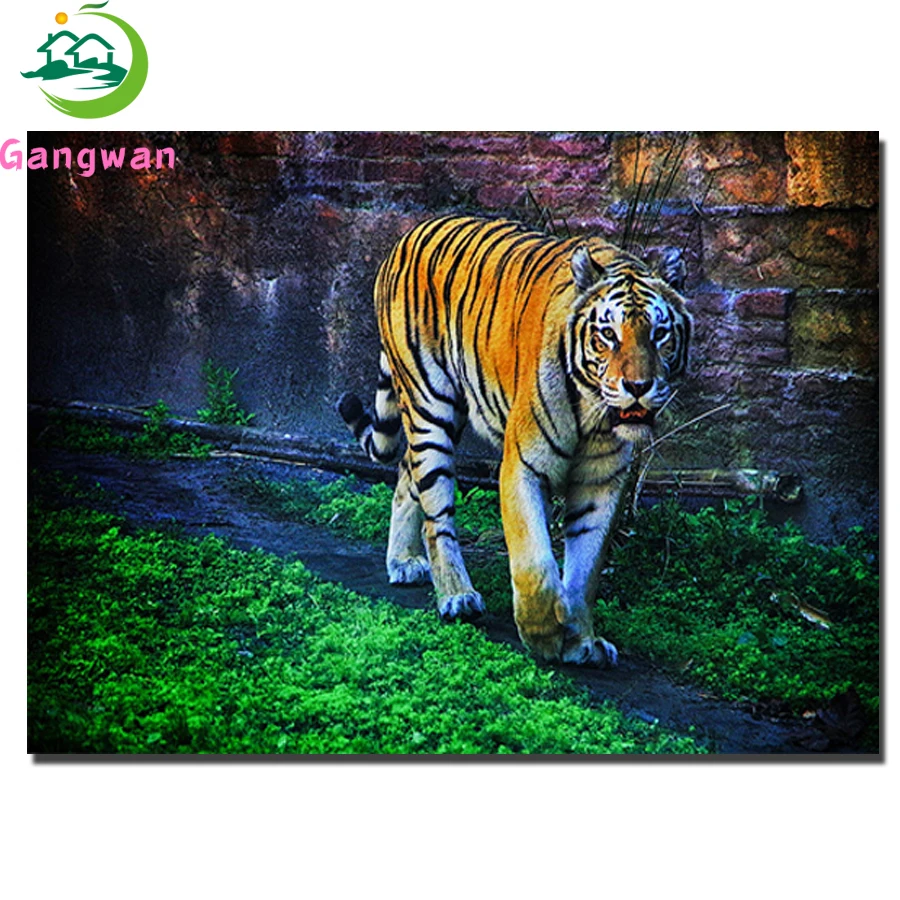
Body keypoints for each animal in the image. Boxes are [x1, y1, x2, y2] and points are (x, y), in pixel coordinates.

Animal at [338, 214, 691, 666]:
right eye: (608, 334)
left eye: (660, 333)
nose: (638, 387)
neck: (593, 413)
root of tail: (407, 235)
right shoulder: (523, 465)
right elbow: (534, 562)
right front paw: (544, 634)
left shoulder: (601, 482)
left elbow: (586, 568)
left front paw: (582, 639)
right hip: (430, 406)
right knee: (437, 514)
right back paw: (457, 597)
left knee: (405, 476)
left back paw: (402, 561)